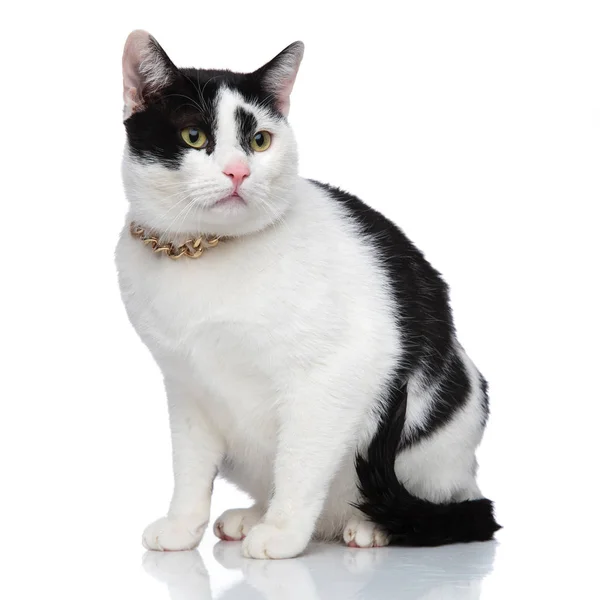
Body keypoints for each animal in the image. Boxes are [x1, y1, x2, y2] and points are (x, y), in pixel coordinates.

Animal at [115, 30, 500, 560]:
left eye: (260, 141)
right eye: (194, 136)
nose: (238, 173)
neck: (200, 251)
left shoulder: (332, 376)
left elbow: (299, 462)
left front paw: (282, 532)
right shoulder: (185, 387)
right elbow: (189, 467)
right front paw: (182, 526)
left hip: (434, 444)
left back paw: (371, 526)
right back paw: (252, 515)